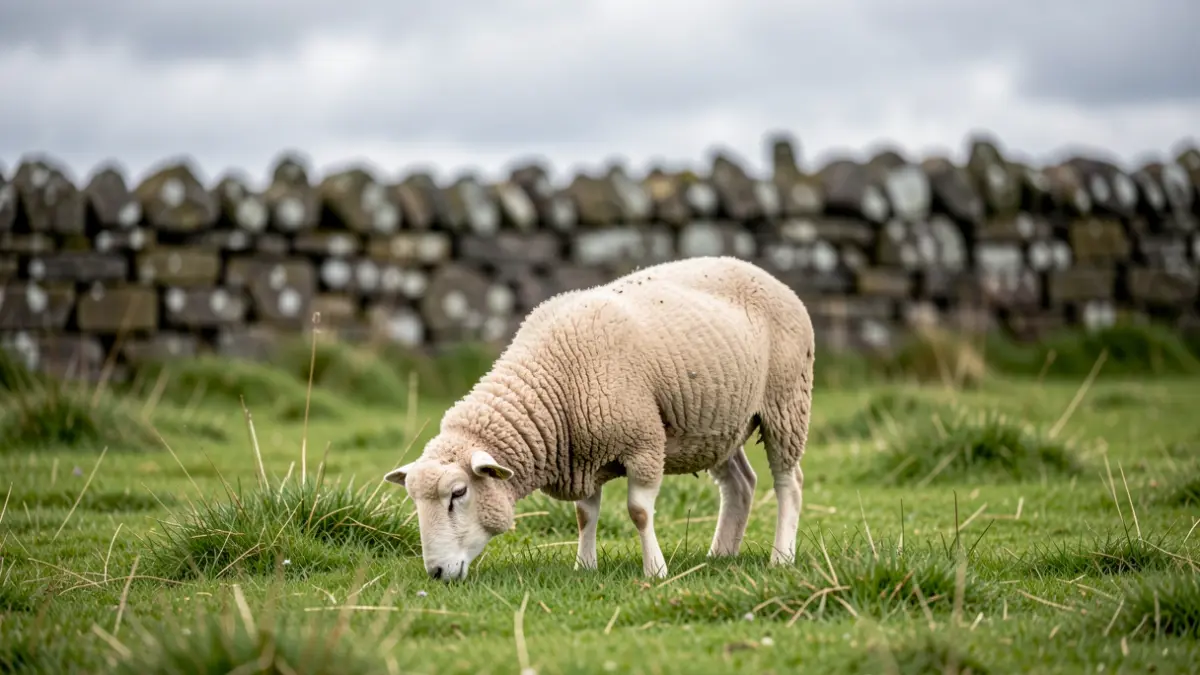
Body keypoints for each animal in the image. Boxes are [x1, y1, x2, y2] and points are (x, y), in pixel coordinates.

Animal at [383, 255, 815, 582]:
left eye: (458, 494)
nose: (436, 573)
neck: (552, 379)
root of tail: (762, 272)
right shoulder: (581, 452)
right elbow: (583, 514)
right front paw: (584, 567)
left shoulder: (644, 442)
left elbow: (639, 512)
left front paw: (656, 571)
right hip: (716, 424)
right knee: (741, 484)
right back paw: (721, 554)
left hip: (787, 401)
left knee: (788, 482)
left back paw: (781, 557)